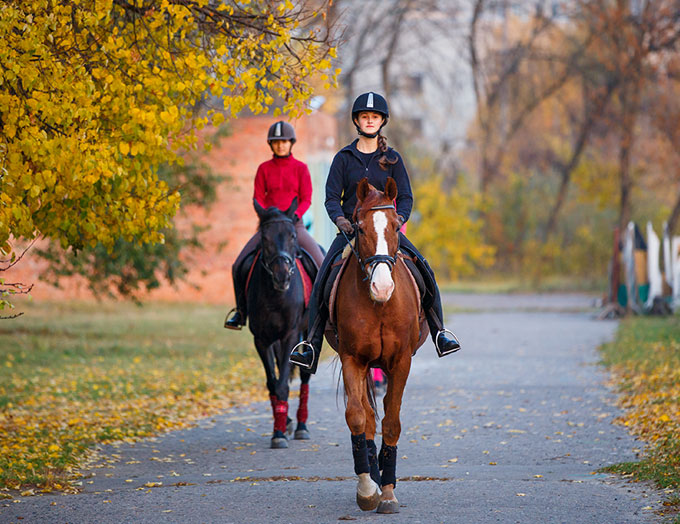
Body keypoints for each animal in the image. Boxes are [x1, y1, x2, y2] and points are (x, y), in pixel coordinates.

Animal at [250, 199, 314, 448]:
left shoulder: (290, 335)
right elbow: (273, 382)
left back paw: (302, 426)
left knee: (304, 376)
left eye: (292, 236)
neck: (275, 295)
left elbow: (284, 384)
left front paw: (280, 432)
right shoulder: (261, 339)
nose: (282, 276)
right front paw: (279, 427)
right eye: (264, 238)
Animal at [334, 178, 422, 512]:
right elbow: (358, 418)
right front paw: (367, 490)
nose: (382, 287)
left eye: (397, 225)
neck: (380, 306)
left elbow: (392, 422)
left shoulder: (401, 362)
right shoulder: (352, 359)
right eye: (359, 228)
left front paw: (387, 492)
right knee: (368, 419)